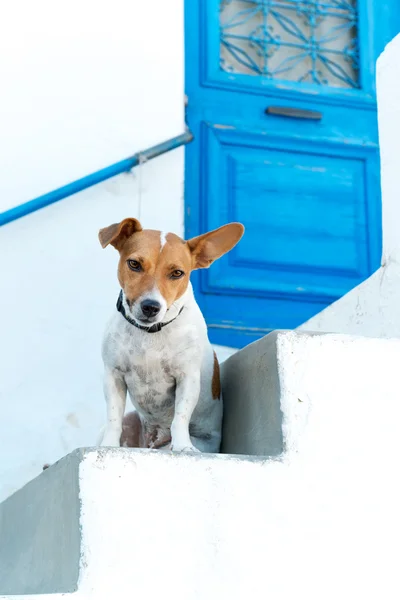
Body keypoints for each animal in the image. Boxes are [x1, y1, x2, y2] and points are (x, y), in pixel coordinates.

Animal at [99, 218, 244, 452]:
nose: (151, 306)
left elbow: (180, 418)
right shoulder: (114, 375)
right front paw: (109, 446)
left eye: (177, 273)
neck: (149, 333)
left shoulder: (187, 378)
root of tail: (149, 445)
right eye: (134, 264)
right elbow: (113, 418)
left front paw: (183, 445)